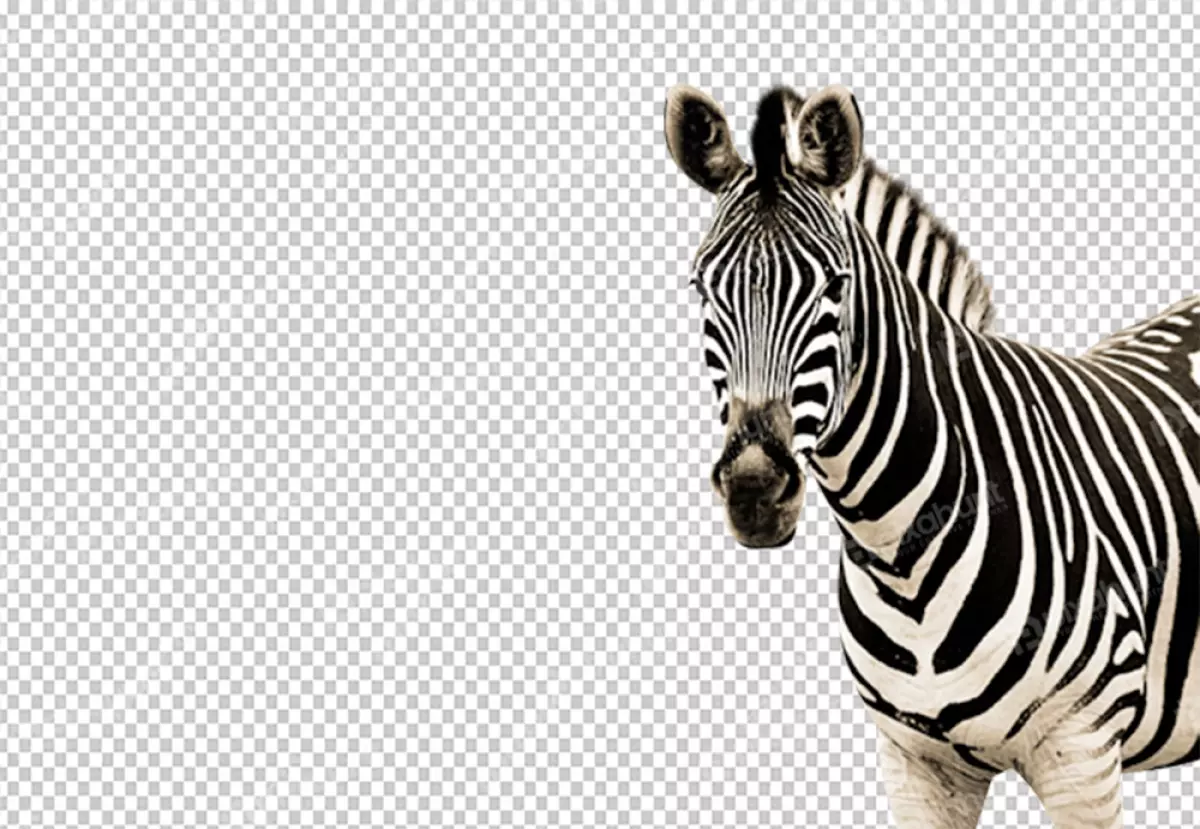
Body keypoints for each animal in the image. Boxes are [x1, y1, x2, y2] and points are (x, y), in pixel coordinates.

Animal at [664, 83, 1200, 828]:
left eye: (835, 286)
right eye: (701, 287)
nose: (754, 489)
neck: (900, 553)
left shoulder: (1084, 754)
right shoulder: (917, 762)